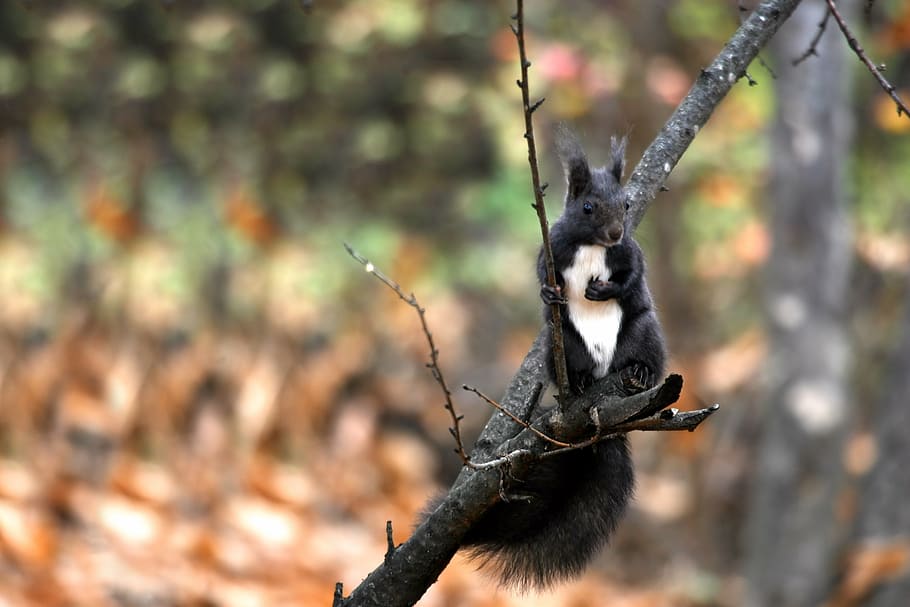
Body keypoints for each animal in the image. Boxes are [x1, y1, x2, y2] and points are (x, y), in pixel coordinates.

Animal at [458, 126, 667, 590]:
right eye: (587, 207)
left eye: (628, 204)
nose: (615, 232)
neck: (592, 247)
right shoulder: (551, 249)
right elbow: (540, 269)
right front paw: (547, 292)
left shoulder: (631, 254)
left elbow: (633, 274)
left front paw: (604, 289)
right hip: (564, 346)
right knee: (574, 366)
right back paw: (584, 381)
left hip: (642, 333)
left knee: (644, 357)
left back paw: (640, 372)